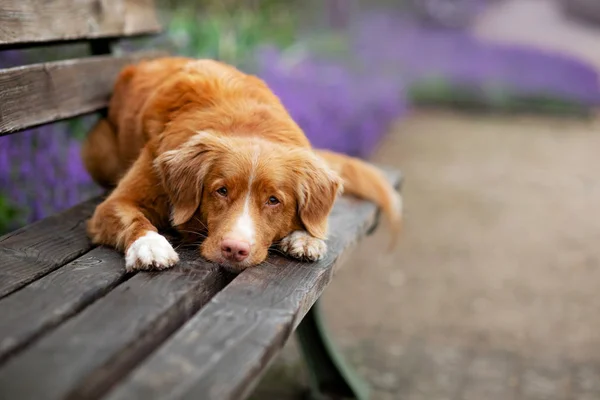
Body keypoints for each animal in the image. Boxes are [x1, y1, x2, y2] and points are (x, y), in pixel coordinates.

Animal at [79, 57, 398, 274]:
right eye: (221, 191)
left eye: (273, 200)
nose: (234, 249)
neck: (246, 124)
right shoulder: (116, 203)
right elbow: (132, 217)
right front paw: (150, 245)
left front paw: (306, 238)